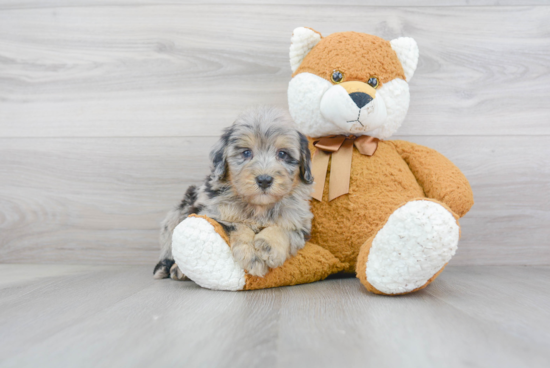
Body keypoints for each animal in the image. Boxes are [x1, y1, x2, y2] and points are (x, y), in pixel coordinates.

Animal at [153, 106, 314, 278]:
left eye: (282, 154)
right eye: (246, 153)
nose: (264, 180)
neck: (259, 207)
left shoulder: (299, 223)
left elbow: (284, 229)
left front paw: (268, 246)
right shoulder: (213, 213)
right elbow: (237, 225)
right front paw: (252, 255)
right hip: (178, 212)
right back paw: (171, 268)